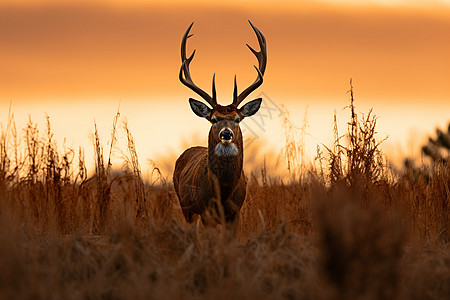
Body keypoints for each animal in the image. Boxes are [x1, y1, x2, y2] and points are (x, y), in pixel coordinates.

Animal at [173, 20, 268, 227]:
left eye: (237, 119)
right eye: (214, 119)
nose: (226, 134)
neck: (223, 194)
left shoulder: (235, 212)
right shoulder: (205, 211)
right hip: (186, 206)